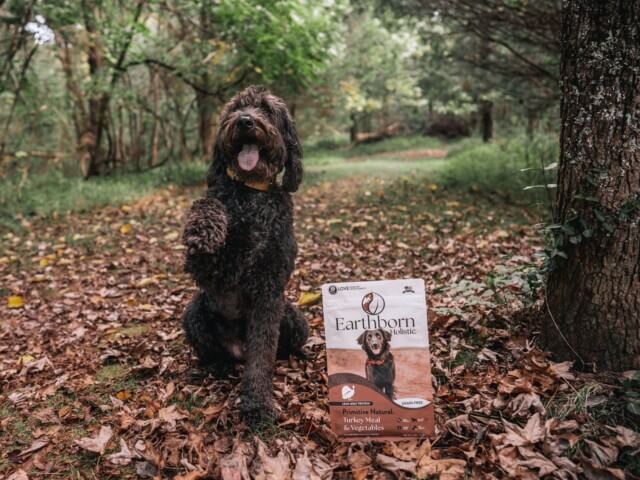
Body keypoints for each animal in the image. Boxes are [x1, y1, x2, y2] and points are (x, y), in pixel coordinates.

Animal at [181, 84, 308, 426]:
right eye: (235, 109)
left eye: (267, 109)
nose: (245, 121)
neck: (251, 193)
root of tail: (238, 350)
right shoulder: (207, 268)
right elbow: (208, 203)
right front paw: (203, 229)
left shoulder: (269, 287)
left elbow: (262, 352)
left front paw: (257, 404)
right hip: (194, 312)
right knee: (211, 352)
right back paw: (218, 366)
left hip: (295, 318)